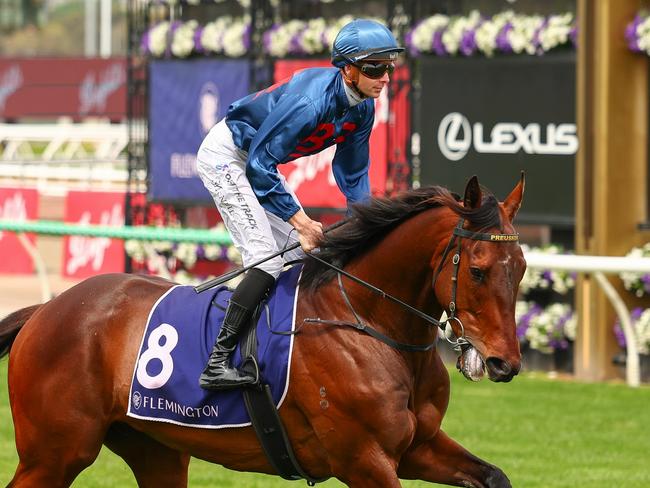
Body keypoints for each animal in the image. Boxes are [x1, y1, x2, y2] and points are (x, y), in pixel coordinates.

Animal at [0, 173, 524, 486]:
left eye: (519, 268)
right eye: (478, 270)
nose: (505, 364)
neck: (369, 322)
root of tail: (47, 309)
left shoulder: (417, 445)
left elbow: (494, 476)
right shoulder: (365, 458)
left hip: (156, 448)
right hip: (56, 452)